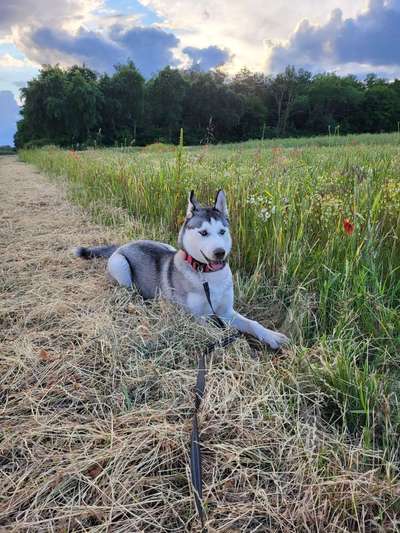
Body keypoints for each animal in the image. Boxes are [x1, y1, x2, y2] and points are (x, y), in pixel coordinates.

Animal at [73, 191, 288, 350]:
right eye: (203, 232)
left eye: (222, 231)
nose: (220, 253)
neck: (208, 276)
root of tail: (122, 245)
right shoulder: (195, 318)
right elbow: (217, 331)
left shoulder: (226, 311)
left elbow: (252, 323)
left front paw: (271, 336)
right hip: (121, 266)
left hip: (165, 246)